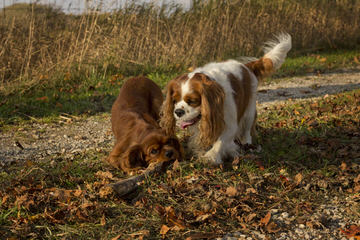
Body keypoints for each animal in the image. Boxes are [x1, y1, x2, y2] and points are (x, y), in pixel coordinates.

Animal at [160, 33, 292, 165]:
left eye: (192, 101)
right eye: (174, 100)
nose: (178, 112)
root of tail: (246, 66)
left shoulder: (230, 123)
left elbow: (221, 141)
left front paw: (211, 156)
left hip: (249, 112)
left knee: (246, 131)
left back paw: (247, 145)